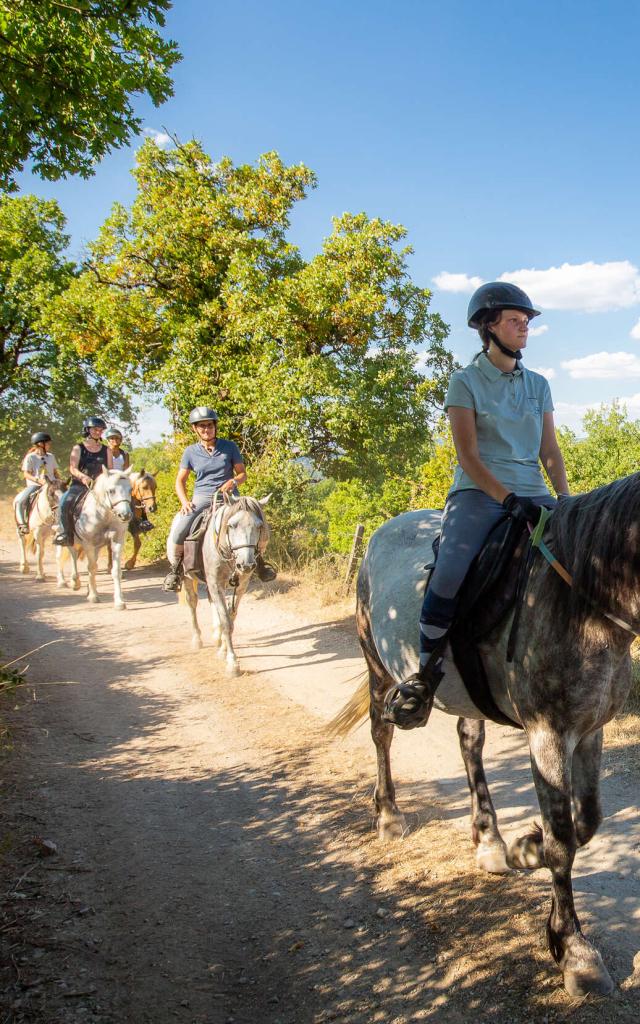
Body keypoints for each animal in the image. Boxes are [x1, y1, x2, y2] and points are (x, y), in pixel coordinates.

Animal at [166, 491, 270, 675]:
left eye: (259, 526)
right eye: (232, 525)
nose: (246, 565)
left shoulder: (241, 586)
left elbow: (230, 618)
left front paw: (222, 649)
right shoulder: (215, 583)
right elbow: (226, 621)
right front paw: (232, 663)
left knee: (211, 602)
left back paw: (216, 637)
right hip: (187, 577)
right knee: (192, 603)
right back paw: (197, 639)